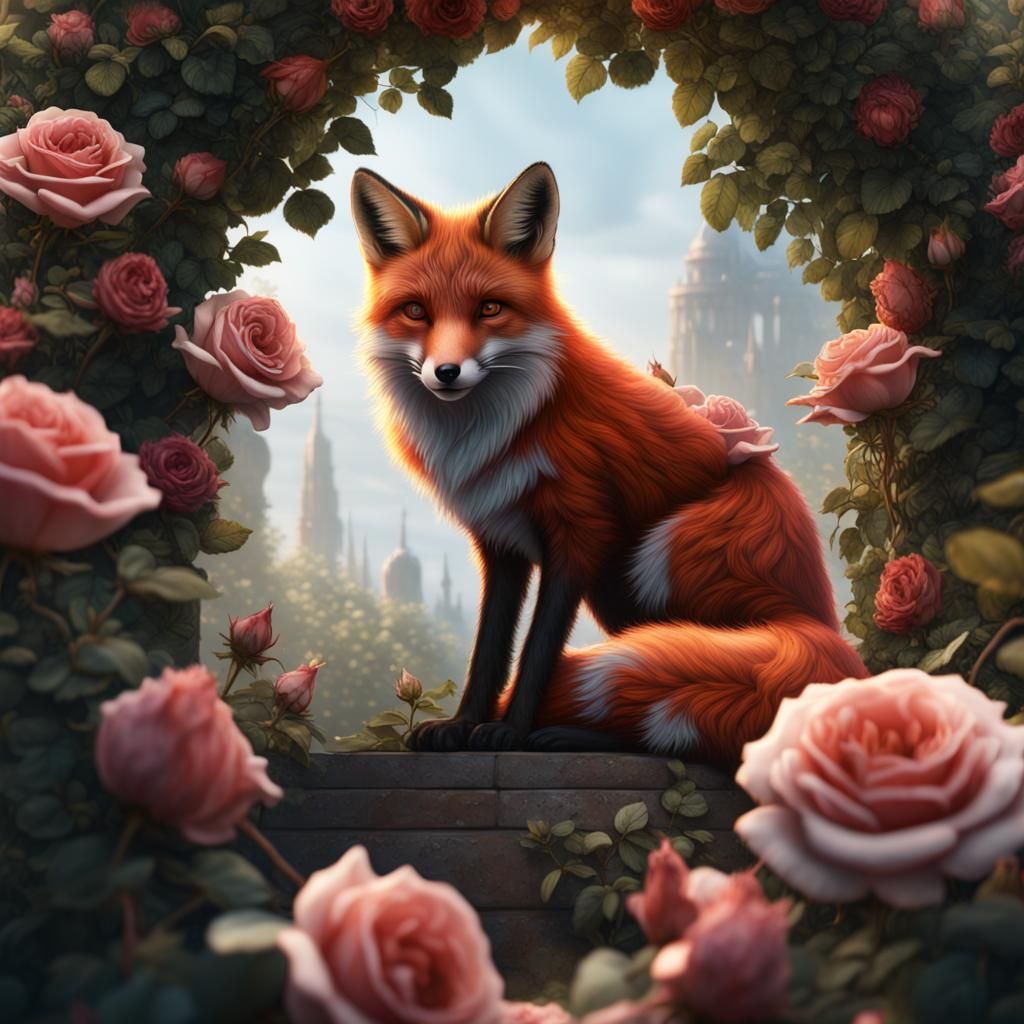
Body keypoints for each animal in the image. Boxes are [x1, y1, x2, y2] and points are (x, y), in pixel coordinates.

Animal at [350, 162, 868, 763]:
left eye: (489, 309)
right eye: (416, 311)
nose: (447, 372)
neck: (506, 426)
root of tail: (824, 628)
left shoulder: (581, 532)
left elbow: (537, 652)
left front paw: (510, 732)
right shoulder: (501, 543)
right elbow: (489, 650)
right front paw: (463, 726)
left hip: (655, 554)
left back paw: (566, 736)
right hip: (616, 581)